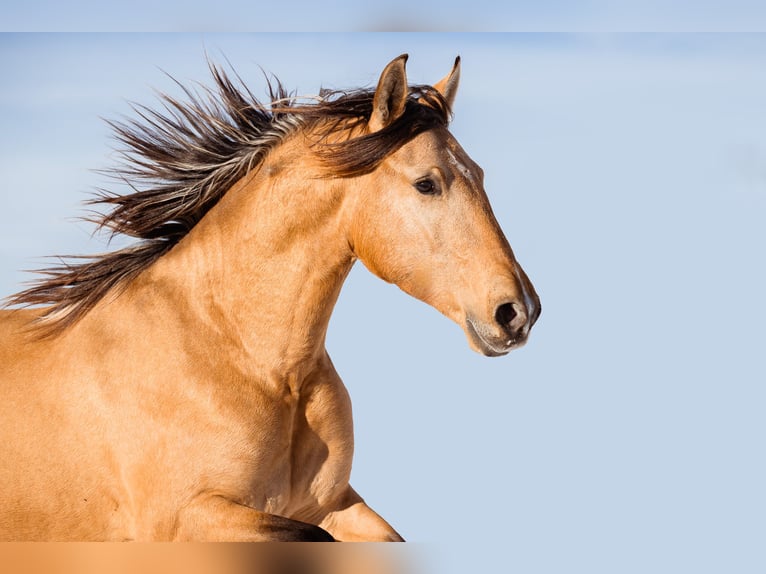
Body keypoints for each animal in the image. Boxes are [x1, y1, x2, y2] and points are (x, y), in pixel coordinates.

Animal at [0, 55, 544, 544]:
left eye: (479, 174)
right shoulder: (183, 518)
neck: (241, 354)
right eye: (426, 183)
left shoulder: (331, 504)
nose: (518, 312)